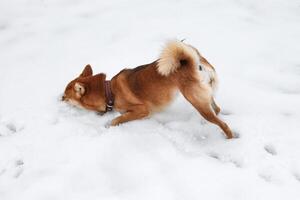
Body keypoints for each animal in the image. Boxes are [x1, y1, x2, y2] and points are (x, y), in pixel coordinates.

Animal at [61, 40, 234, 139]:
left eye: (65, 96)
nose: (59, 99)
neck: (109, 91)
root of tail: (195, 63)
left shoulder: (142, 110)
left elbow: (119, 118)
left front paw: (110, 123)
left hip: (195, 100)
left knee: (223, 124)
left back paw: (229, 138)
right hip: (204, 97)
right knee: (217, 109)